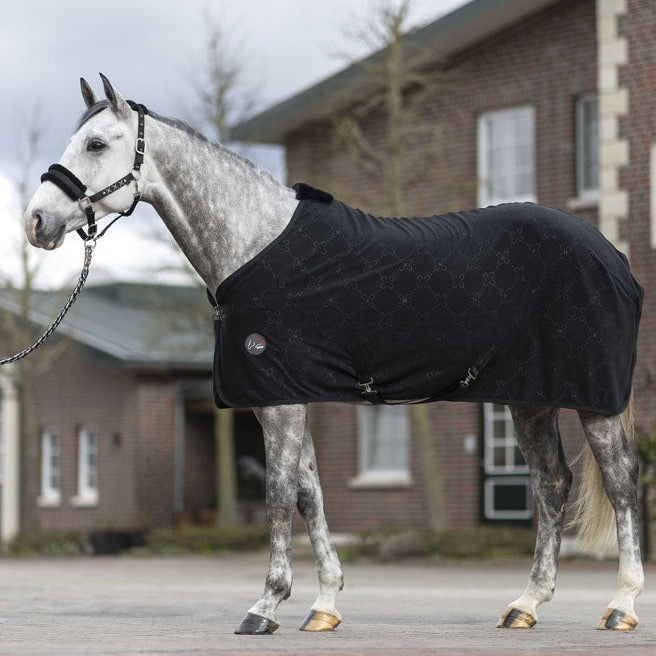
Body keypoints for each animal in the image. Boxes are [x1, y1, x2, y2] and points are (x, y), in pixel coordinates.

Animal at [24, 74, 644, 634]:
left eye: (96, 144)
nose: (36, 221)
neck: (257, 243)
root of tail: (611, 255)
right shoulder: (287, 396)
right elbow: (310, 496)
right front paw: (323, 605)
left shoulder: (279, 401)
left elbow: (278, 496)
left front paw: (265, 606)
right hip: (530, 399)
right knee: (553, 484)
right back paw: (526, 604)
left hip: (594, 398)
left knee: (620, 481)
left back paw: (622, 606)